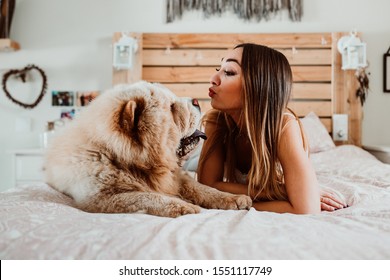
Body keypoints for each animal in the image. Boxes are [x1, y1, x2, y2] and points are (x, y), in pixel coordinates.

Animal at [43, 80, 253, 218]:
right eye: (172, 108)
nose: (196, 100)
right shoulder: (99, 198)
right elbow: (147, 196)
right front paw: (184, 206)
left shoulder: (178, 178)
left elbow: (205, 188)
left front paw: (237, 199)